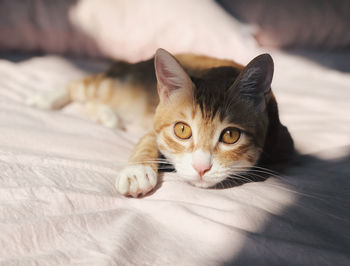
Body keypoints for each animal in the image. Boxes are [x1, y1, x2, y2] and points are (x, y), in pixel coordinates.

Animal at [27, 47, 294, 197]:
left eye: (230, 135)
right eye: (182, 130)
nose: (201, 168)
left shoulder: (284, 144)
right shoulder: (155, 123)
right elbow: (148, 139)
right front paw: (137, 171)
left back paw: (108, 116)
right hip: (121, 88)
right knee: (84, 85)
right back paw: (47, 98)